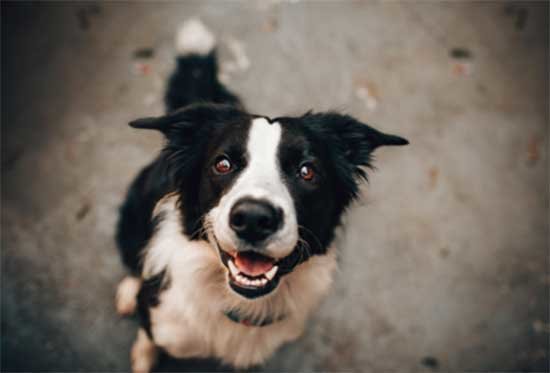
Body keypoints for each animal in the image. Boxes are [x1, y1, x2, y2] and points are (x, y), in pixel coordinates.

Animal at [115, 18, 410, 370]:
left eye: (307, 171)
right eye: (223, 164)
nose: (254, 219)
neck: (240, 305)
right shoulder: (161, 320)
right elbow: (148, 336)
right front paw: (143, 357)